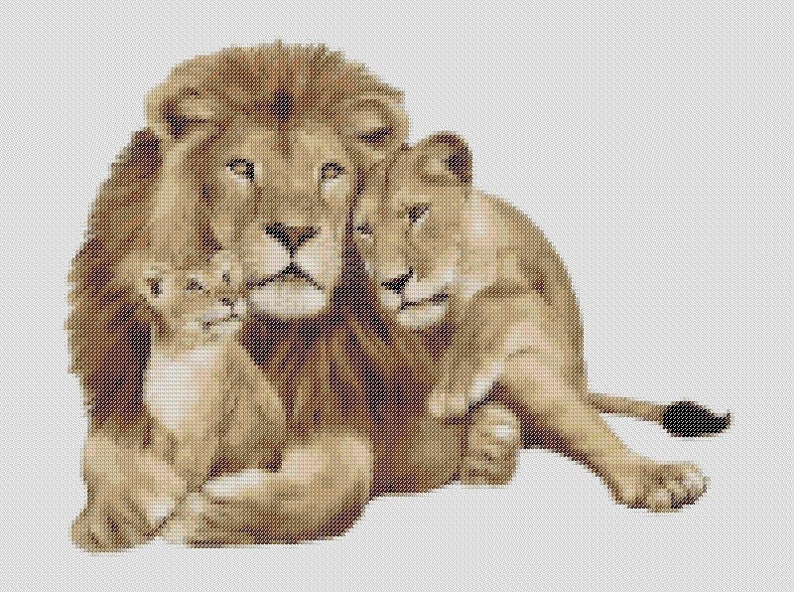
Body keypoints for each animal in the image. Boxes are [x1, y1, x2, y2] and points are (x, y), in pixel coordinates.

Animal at [70, 44, 520, 549]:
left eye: (331, 170)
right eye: (242, 167)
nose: (295, 231)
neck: (268, 332)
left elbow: (347, 474)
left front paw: (216, 515)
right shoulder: (122, 394)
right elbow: (101, 448)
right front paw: (117, 509)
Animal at [353, 132, 730, 512]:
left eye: (417, 213)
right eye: (364, 230)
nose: (392, 282)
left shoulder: (554, 336)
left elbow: (495, 298)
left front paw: (453, 387)